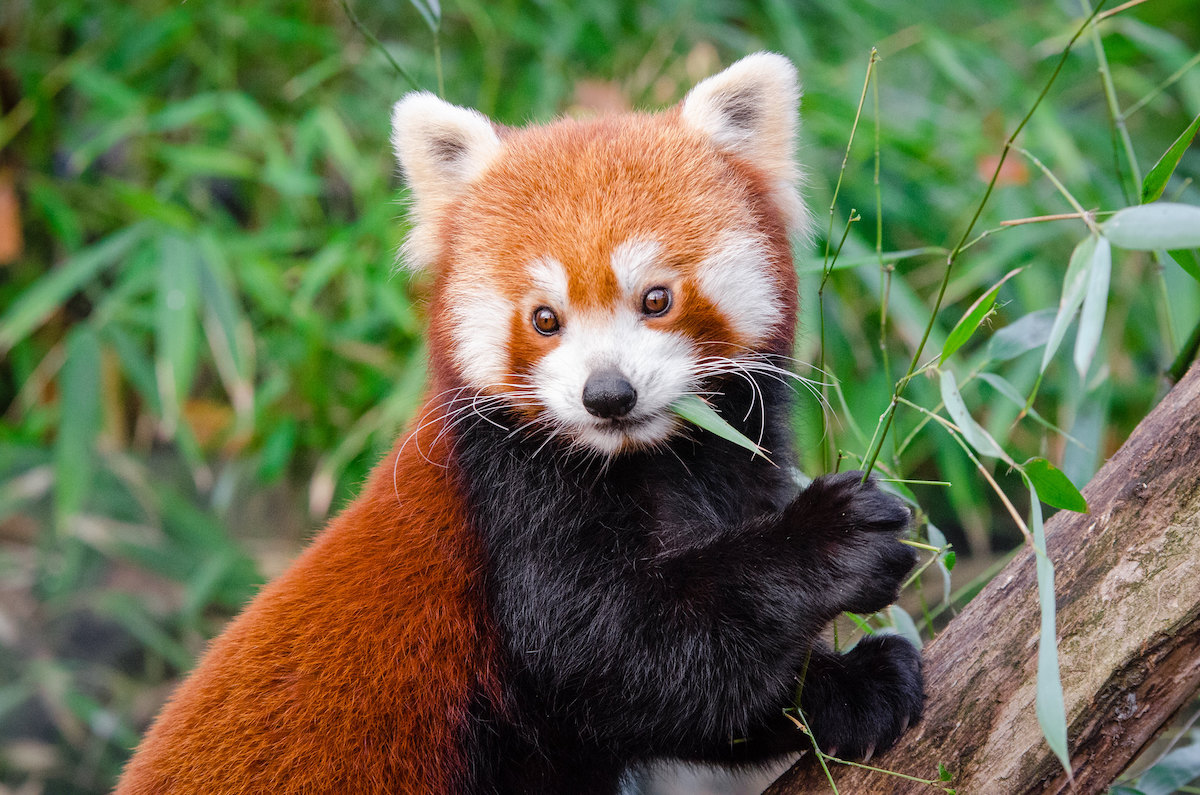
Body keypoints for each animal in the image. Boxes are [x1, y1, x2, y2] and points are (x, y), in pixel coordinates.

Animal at [117, 52, 921, 792]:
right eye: (544, 318)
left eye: (656, 299)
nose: (607, 394)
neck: (650, 460)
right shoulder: (510, 501)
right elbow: (613, 662)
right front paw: (836, 540)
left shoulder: (732, 463)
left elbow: (697, 697)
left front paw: (848, 689)